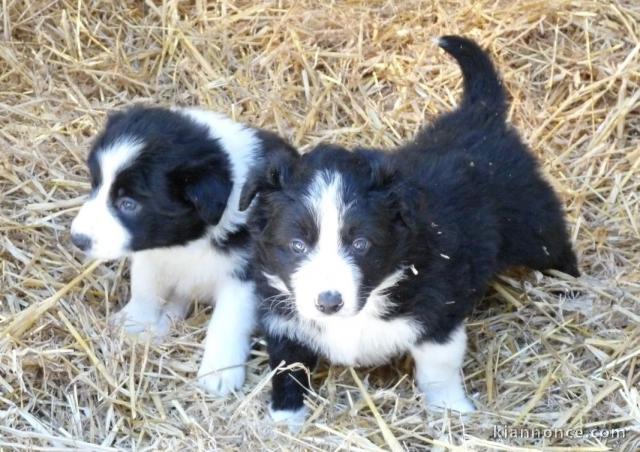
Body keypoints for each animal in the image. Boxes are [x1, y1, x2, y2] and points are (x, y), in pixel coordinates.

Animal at [71, 107, 296, 396]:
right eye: (95, 184)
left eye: (128, 204)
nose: (78, 239)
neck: (188, 243)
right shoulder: (152, 255)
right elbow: (145, 290)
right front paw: (132, 321)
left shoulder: (246, 275)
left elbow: (228, 320)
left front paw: (219, 372)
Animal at [240, 36, 580, 428]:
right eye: (296, 245)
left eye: (361, 244)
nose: (328, 303)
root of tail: (478, 116)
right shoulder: (284, 315)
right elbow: (287, 367)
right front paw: (285, 419)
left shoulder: (437, 311)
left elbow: (438, 368)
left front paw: (452, 410)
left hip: (533, 225)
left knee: (558, 247)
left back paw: (573, 287)